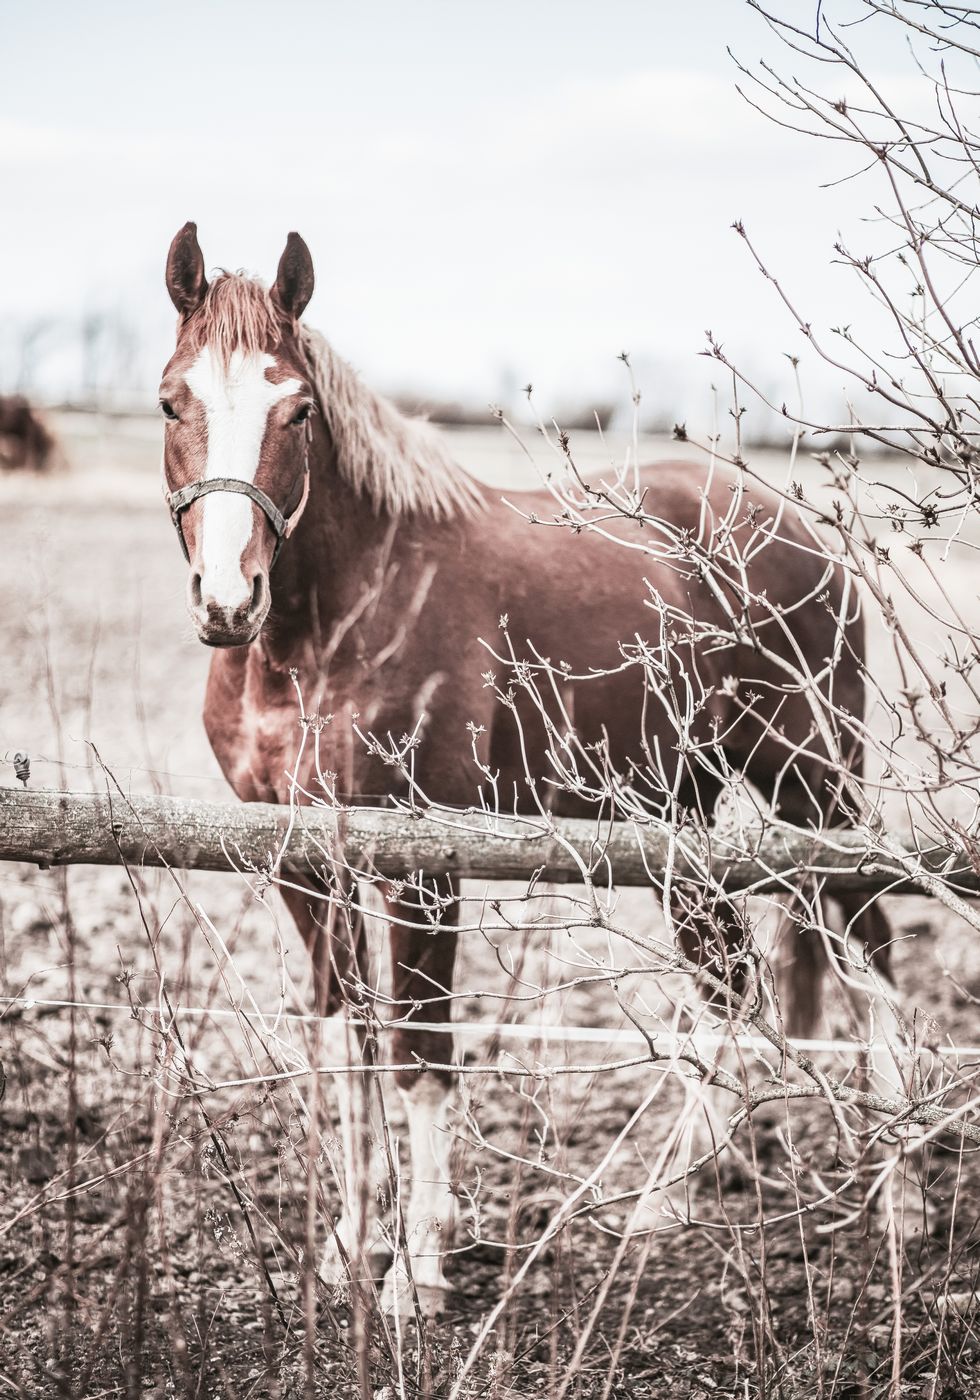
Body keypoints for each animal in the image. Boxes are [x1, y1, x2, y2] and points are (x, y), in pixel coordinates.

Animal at [162, 224, 896, 1316]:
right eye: (173, 401)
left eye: (296, 409)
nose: (226, 598)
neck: (326, 628)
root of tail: (798, 530)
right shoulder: (298, 860)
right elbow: (345, 1044)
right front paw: (347, 1246)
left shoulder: (422, 865)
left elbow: (419, 1050)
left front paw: (417, 1270)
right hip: (676, 818)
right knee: (728, 983)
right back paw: (662, 1205)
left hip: (814, 785)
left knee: (871, 952)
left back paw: (899, 1200)